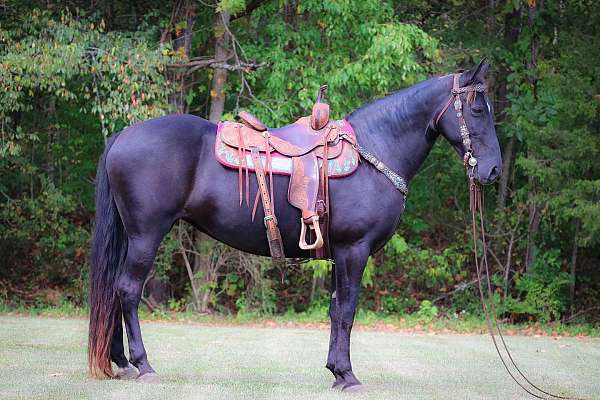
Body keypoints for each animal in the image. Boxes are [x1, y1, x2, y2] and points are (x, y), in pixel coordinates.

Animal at [88, 60, 502, 390]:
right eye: (477, 109)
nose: (493, 170)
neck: (375, 150)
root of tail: (124, 135)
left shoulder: (339, 254)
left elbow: (335, 310)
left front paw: (335, 371)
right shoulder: (355, 250)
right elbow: (347, 310)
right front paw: (348, 376)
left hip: (131, 236)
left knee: (112, 291)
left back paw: (121, 363)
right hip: (146, 235)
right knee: (127, 291)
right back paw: (142, 365)